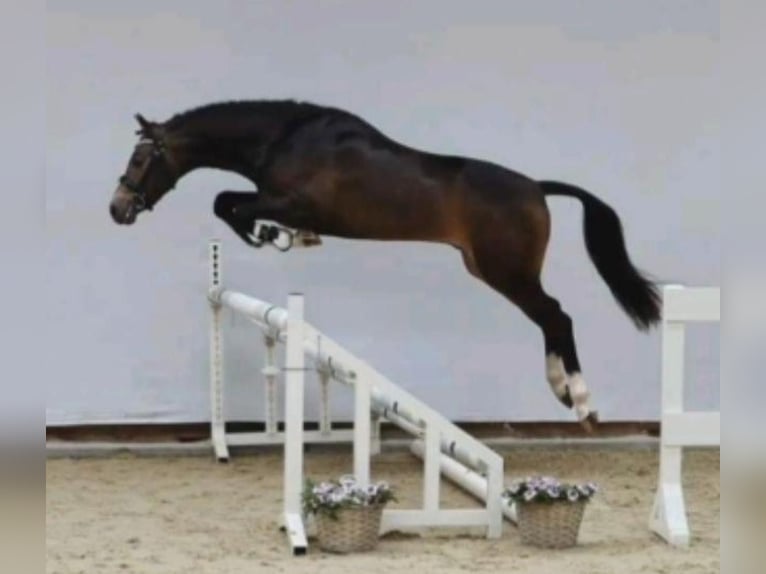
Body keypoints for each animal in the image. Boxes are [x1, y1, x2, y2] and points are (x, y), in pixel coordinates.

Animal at [109, 99, 661, 431]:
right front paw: (282, 237)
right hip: (491, 271)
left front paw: (270, 235)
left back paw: (581, 400)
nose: (118, 208)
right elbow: (228, 202)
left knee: (557, 316)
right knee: (550, 319)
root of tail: (536, 188)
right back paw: (564, 395)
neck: (284, 139)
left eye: (139, 160)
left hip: (508, 274)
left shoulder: (292, 202)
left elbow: (228, 203)